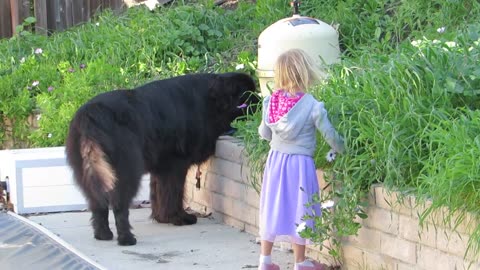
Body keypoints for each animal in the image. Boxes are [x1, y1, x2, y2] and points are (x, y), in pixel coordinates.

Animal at [66, 73, 258, 246]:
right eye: (247, 95)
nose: (259, 102)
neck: (210, 101)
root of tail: (90, 117)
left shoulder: (161, 167)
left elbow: (159, 192)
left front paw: (162, 217)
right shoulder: (176, 165)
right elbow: (174, 193)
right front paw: (179, 218)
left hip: (89, 171)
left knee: (97, 202)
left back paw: (103, 234)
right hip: (125, 170)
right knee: (120, 205)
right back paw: (127, 239)